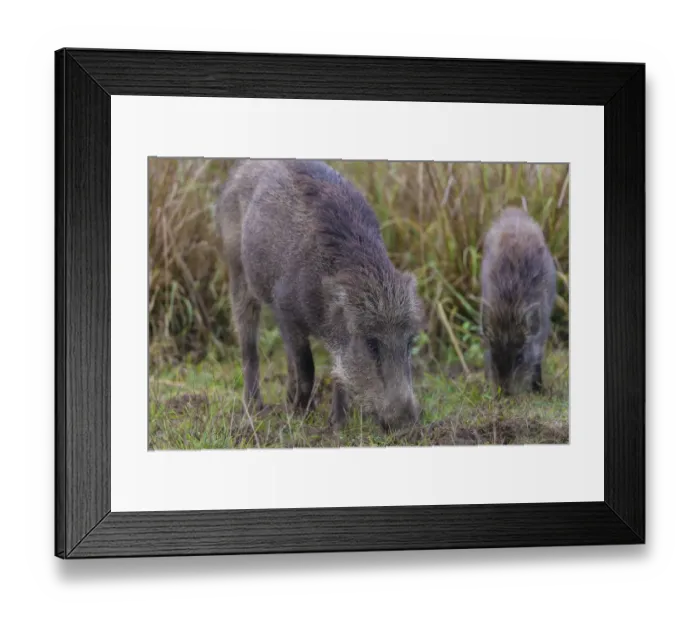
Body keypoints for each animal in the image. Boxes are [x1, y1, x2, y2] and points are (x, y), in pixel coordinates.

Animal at [214, 159, 424, 432]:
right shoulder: (285, 310)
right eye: (371, 343)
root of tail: (238, 170)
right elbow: (307, 368)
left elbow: (336, 371)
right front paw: (297, 416)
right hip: (238, 272)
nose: (407, 425)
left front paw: (337, 425)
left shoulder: (335, 335)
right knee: (249, 346)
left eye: (410, 341)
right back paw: (255, 408)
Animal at [480, 207, 557, 396]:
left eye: (520, 358)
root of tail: (513, 210)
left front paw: (538, 389)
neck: (509, 306)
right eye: (493, 354)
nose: (504, 393)